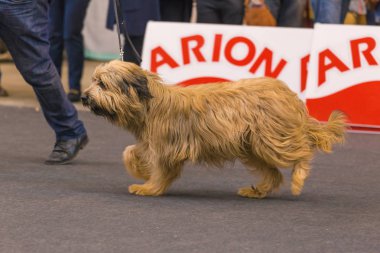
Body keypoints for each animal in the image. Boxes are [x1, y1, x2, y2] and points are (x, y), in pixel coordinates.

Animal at [83, 60, 348, 199]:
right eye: (94, 80)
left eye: (102, 84)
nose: (84, 97)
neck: (149, 103)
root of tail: (288, 94)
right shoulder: (150, 142)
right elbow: (129, 152)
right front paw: (141, 172)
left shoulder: (165, 147)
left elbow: (160, 169)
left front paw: (148, 187)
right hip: (252, 146)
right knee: (273, 174)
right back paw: (257, 190)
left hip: (272, 139)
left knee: (303, 152)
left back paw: (298, 179)